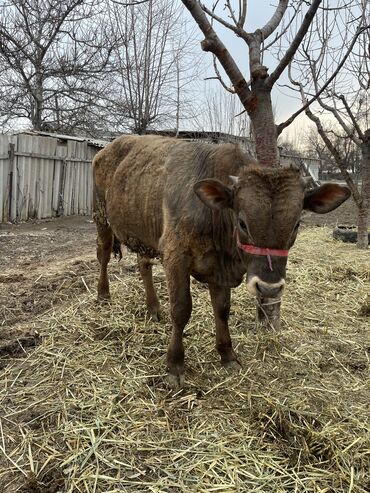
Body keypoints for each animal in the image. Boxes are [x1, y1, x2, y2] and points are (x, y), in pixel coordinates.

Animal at [92, 134, 350, 384]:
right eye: (242, 222)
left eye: (297, 224)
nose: (268, 288)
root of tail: (109, 147)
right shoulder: (176, 256)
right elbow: (181, 309)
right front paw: (175, 365)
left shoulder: (219, 269)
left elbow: (222, 309)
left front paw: (227, 354)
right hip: (101, 216)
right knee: (103, 254)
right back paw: (103, 294)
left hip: (144, 232)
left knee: (143, 265)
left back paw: (153, 307)